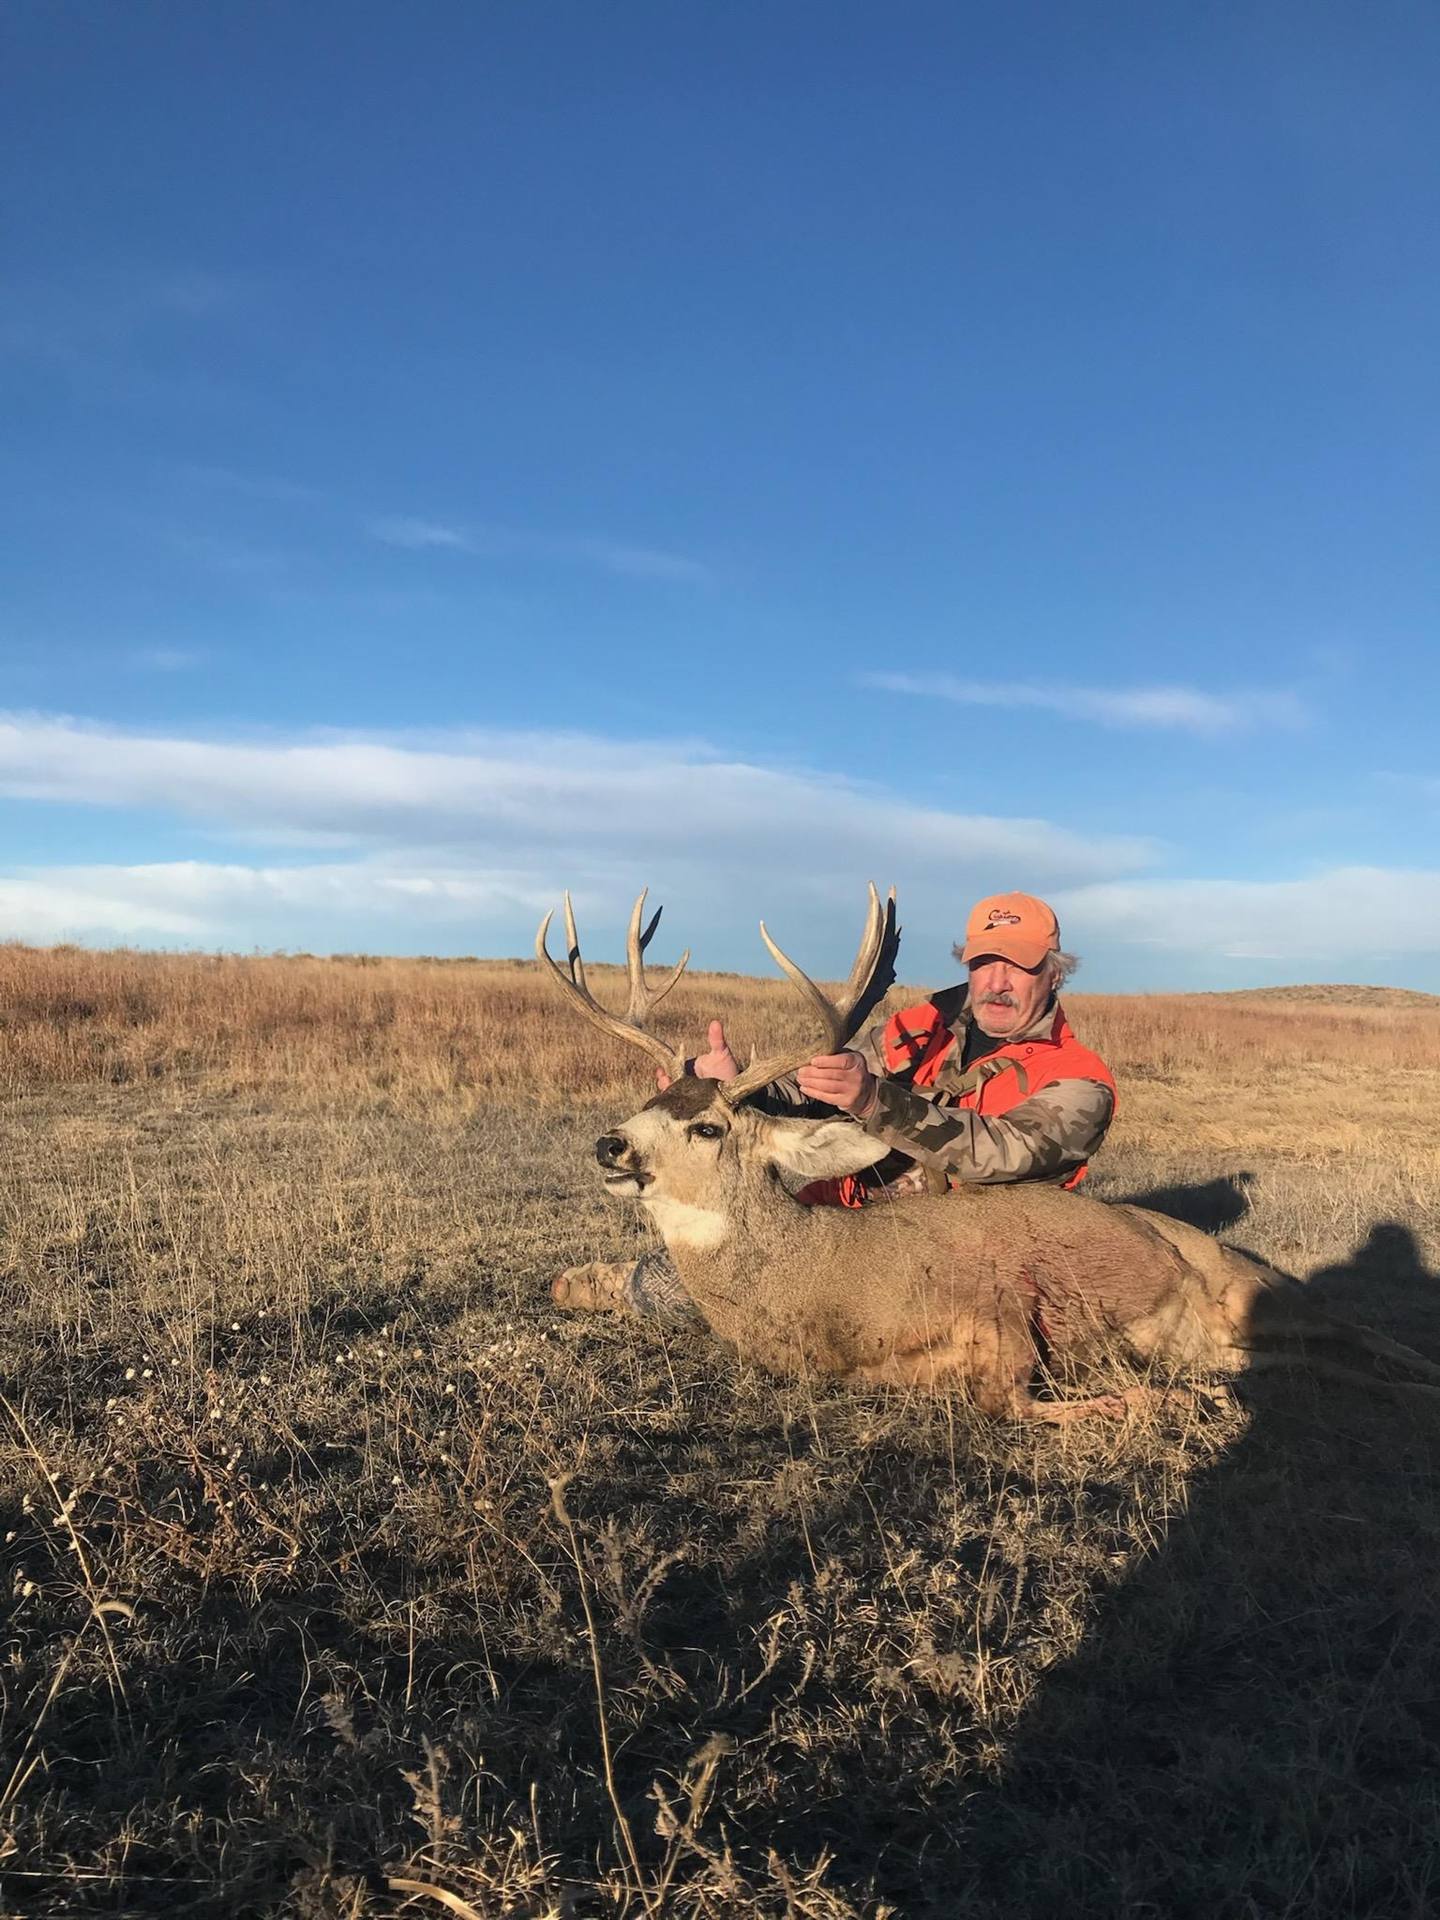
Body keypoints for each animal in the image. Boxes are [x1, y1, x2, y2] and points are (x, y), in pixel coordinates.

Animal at [536, 887, 1440, 1423]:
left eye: (708, 1130)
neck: (830, 1292)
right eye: (644, 1106)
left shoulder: (1001, 1312)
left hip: (1247, 1279)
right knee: (1300, 1359)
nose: (610, 1144)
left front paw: (1136, 1399)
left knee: (1360, 1331)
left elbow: (1017, 1401)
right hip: (1228, 1330)